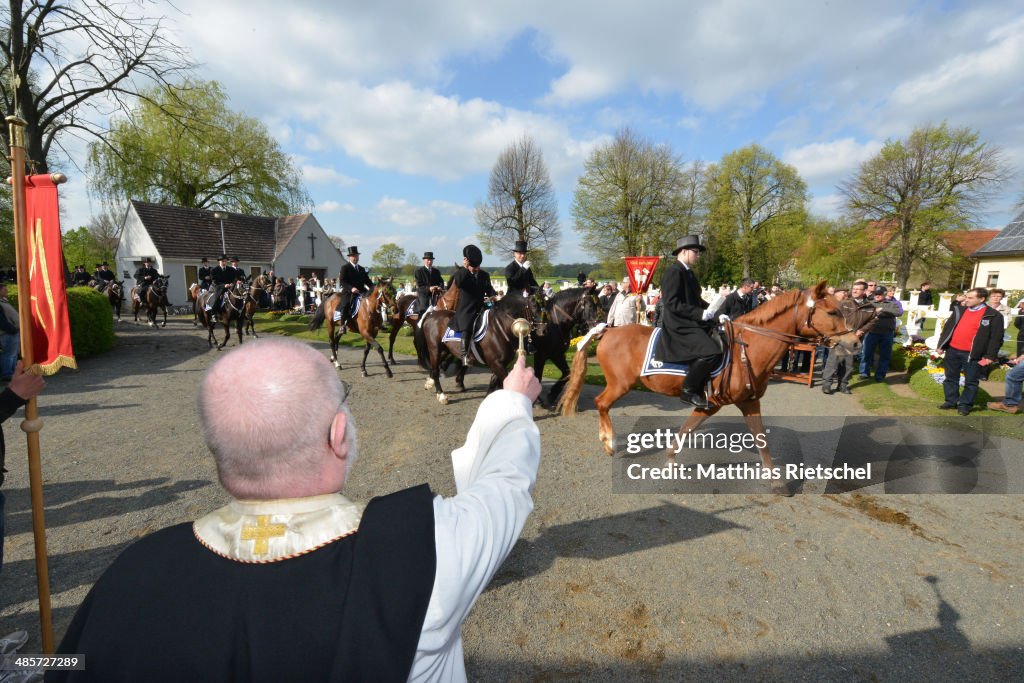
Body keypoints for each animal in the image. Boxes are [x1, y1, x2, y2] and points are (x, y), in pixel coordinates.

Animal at [413, 290, 548, 403]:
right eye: (534, 307)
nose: (544, 330)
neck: (500, 328)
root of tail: (431, 315)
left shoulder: (500, 364)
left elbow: (494, 382)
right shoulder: (496, 363)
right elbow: (506, 380)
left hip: (445, 350)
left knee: (436, 366)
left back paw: (430, 383)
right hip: (434, 348)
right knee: (435, 369)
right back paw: (441, 395)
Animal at [557, 282, 876, 491]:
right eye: (833, 312)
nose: (855, 343)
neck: (750, 346)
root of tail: (608, 330)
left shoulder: (743, 402)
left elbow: (756, 438)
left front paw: (776, 482)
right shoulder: (716, 403)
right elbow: (691, 430)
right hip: (620, 385)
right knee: (601, 403)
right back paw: (608, 442)